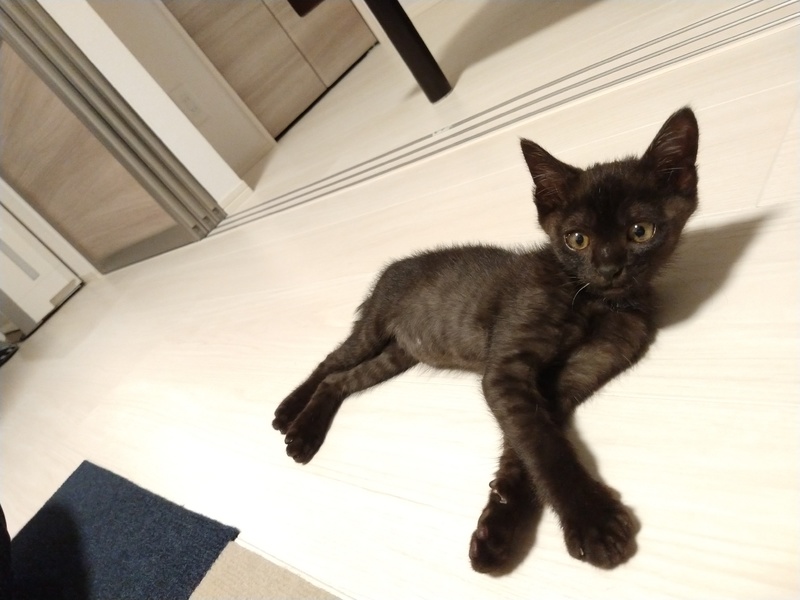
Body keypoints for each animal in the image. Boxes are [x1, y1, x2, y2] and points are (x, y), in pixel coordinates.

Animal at [273, 107, 699, 572]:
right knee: (331, 363)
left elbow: (526, 447)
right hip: (373, 327)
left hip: (399, 355)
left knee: (342, 380)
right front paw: (593, 522)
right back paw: (291, 418)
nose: (608, 268)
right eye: (577, 239)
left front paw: (499, 528)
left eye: (640, 231)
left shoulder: (570, 376)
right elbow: (543, 445)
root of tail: (392, 268)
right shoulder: (507, 370)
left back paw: (304, 429)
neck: (593, 302)